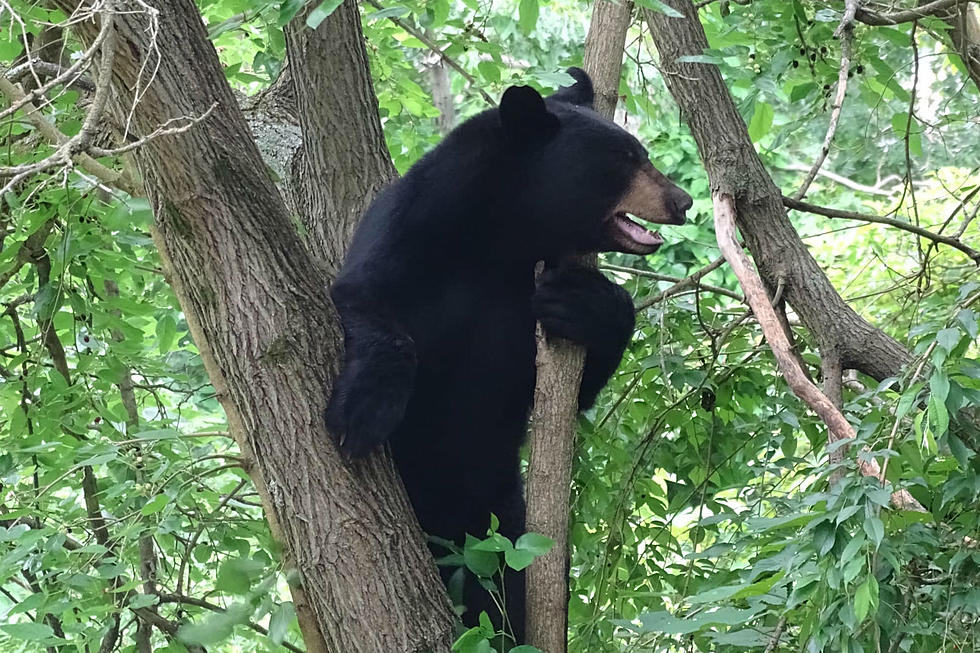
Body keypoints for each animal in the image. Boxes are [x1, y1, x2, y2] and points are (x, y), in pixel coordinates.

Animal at [328, 67, 688, 640]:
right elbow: (366, 299)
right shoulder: (408, 237)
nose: (682, 201)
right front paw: (361, 415)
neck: (501, 240)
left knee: (503, 590)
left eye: (642, 153)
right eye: (624, 159)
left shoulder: (523, 306)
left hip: (500, 519)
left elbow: (567, 383)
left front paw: (584, 304)